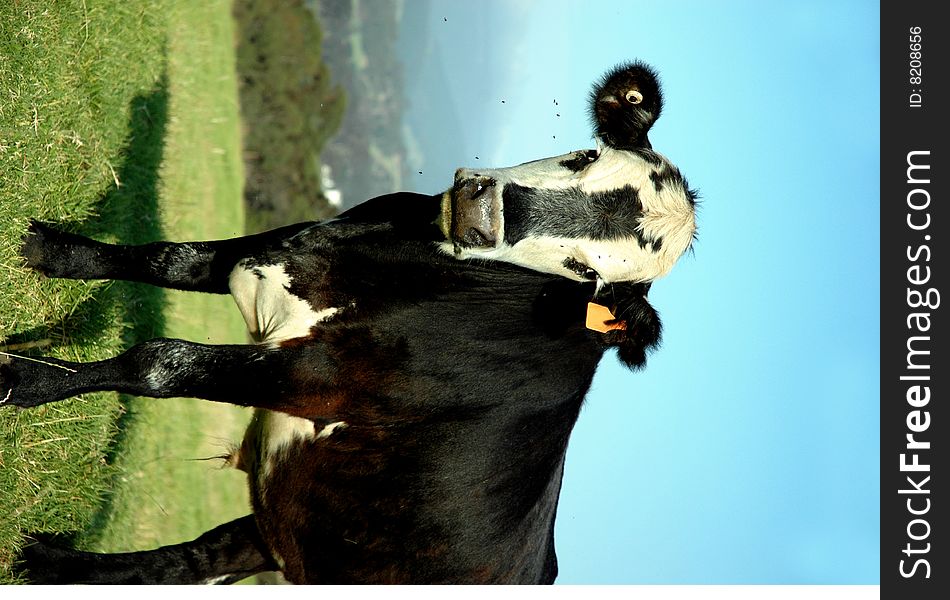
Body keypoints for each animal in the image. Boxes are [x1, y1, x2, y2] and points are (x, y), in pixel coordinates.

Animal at [1, 63, 700, 584]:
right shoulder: (279, 250)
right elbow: (168, 257)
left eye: (586, 271)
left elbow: (160, 363)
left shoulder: (323, 378)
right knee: (185, 563)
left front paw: (21, 380)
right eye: (585, 156)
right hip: (279, 522)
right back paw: (43, 561)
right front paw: (52, 252)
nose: (480, 211)